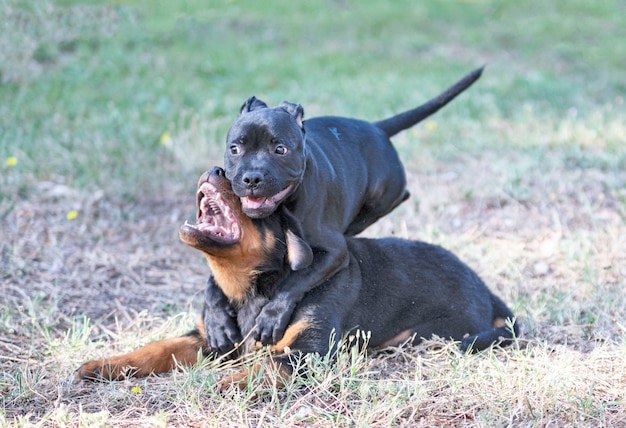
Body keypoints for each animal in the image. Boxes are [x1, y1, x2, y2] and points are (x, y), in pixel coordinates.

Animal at [77, 168, 516, 388]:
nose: (215, 168)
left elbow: (266, 367)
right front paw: (104, 365)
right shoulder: (209, 340)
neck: (254, 290)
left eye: (250, 196)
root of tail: (487, 290)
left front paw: (226, 383)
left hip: (426, 334)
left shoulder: (308, 353)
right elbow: (155, 348)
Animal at [208, 66, 482, 348]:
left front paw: (271, 316)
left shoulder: (334, 252)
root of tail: (376, 128)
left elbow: (295, 282)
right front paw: (218, 321)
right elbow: (213, 285)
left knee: (393, 200)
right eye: (234, 149)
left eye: (280, 149)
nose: (251, 178)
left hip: (383, 192)